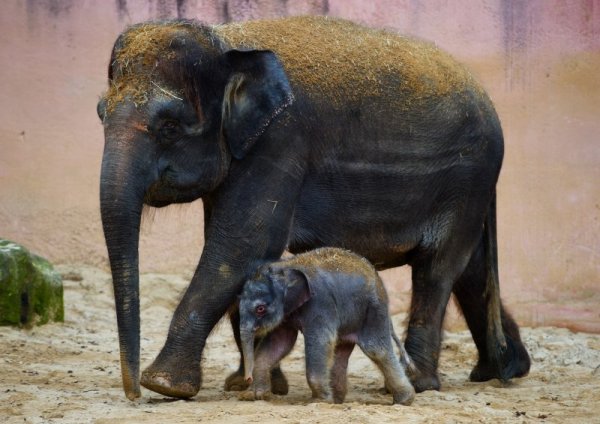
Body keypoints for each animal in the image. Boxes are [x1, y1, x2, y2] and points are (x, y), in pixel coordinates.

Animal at [237, 247, 414, 406]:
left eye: (260, 309)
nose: (247, 378)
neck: (286, 266)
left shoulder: (321, 302)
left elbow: (320, 340)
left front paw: (318, 401)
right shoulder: (288, 311)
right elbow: (280, 342)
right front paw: (252, 396)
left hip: (374, 311)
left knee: (376, 349)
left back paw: (403, 401)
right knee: (340, 352)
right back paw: (337, 401)